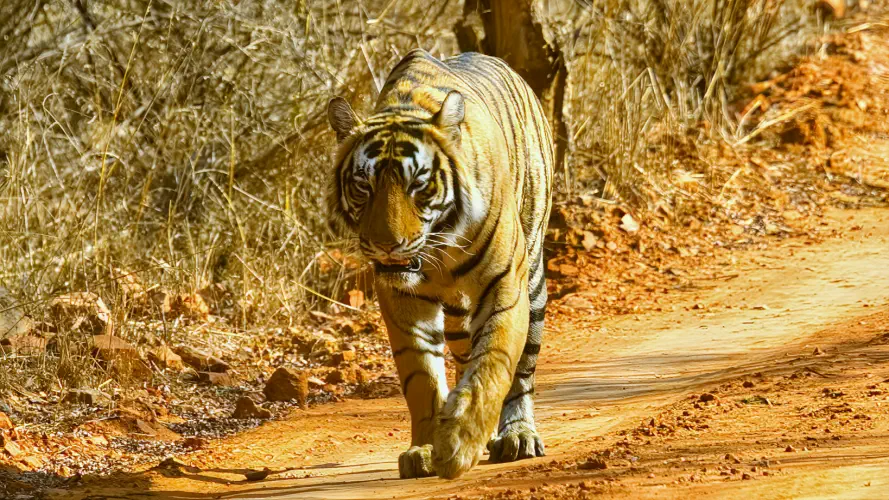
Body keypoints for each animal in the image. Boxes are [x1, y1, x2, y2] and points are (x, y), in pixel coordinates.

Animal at [327, 48, 553, 479]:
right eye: (364, 186)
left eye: (418, 184)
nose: (387, 246)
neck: (439, 248)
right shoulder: (403, 300)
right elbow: (422, 378)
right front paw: (427, 448)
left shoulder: (504, 284)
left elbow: (494, 363)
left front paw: (460, 443)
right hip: (458, 313)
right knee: (463, 352)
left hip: (531, 272)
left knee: (522, 370)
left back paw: (517, 434)